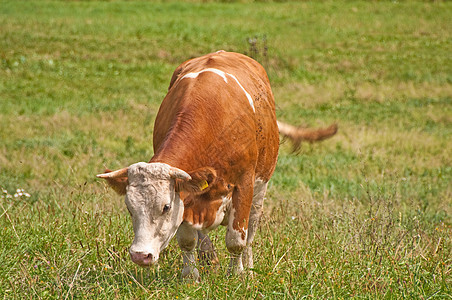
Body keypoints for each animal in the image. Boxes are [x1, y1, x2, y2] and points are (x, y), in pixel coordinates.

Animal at [96, 49, 336, 278]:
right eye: (130, 208)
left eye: (165, 207)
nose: (140, 255)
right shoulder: (185, 192)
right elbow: (187, 240)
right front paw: (190, 276)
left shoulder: (244, 185)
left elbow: (237, 240)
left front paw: (238, 274)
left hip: (260, 188)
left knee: (250, 232)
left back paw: (248, 267)